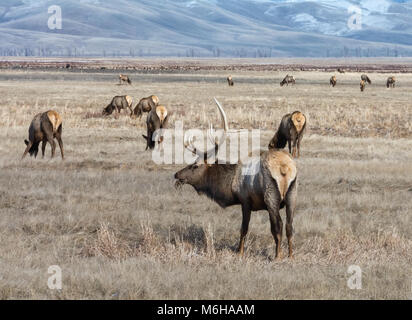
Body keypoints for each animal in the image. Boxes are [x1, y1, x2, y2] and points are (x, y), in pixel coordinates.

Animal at [175, 99, 298, 258]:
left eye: (195, 166)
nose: (177, 174)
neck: (230, 184)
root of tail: (284, 168)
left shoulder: (245, 200)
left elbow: (244, 228)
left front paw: (239, 252)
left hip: (271, 196)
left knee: (278, 225)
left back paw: (277, 256)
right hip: (292, 194)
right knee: (290, 226)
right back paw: (290, 255)